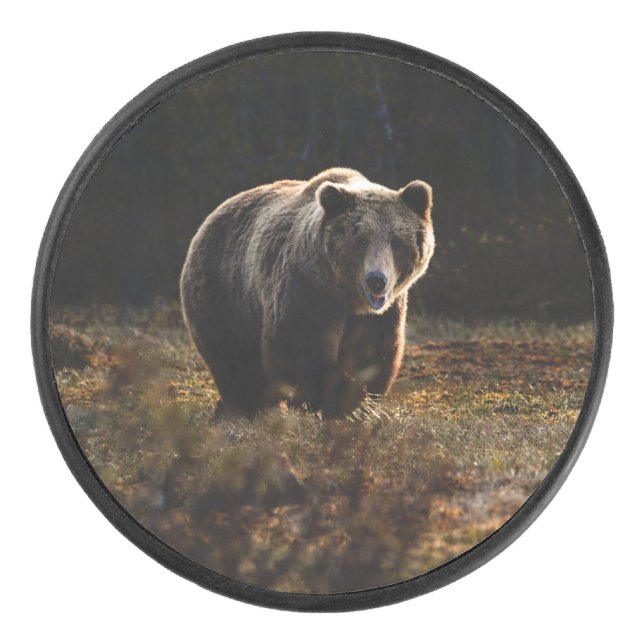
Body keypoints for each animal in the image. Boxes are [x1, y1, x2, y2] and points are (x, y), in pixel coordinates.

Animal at [180, 168, 434, 419]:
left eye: (396, 242)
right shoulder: (307, 288)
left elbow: (371, 351)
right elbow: (298, 345)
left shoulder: (380, 313)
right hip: (225, 293)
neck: (347, 296)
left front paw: (362, 400)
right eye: (361, 240)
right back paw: (248, 407)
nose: (376, 281)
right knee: (234, 361)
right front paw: (347, 400)